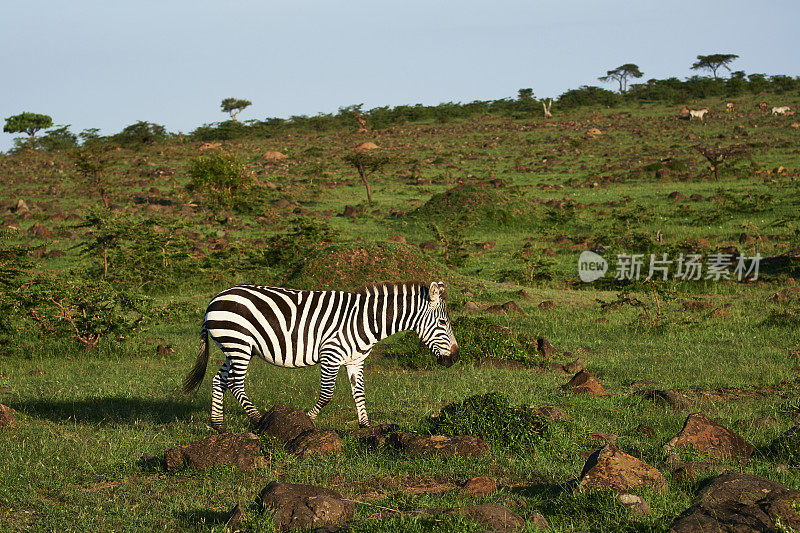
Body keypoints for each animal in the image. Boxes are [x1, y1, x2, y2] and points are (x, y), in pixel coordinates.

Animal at [182, 280, 456, 430]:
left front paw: (365, 427)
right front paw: (308, 420)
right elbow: (327, 395)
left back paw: (218, 424)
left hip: (235, 347)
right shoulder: (330, 354)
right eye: (443, 322)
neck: (367, 321)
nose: (454, 358)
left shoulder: (355, 360)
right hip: (238, 343)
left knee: (219, 380)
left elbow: (359, 394)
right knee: (235, 383)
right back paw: (258, 419)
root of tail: (215, 300)